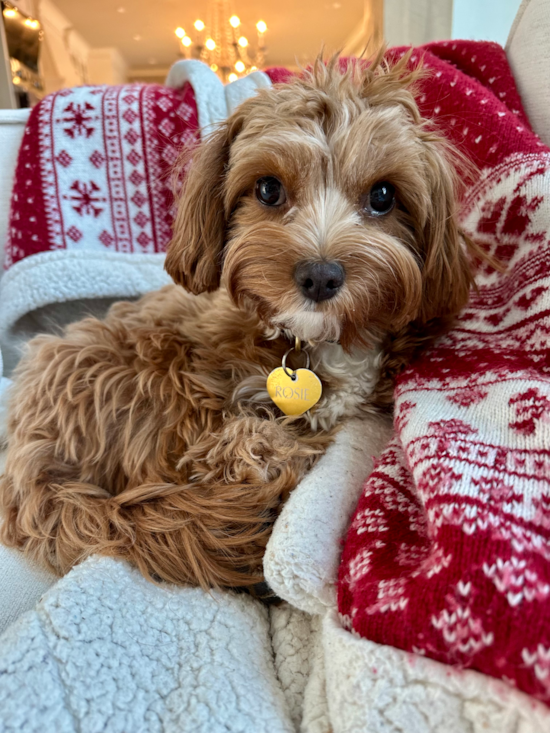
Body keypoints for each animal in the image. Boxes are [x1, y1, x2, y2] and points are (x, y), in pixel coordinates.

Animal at [0, 51, 474, 588]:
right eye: (268, 189)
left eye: (383, 196)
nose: (320, 276)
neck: (317, 343)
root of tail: (31, 464)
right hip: (144, 368)